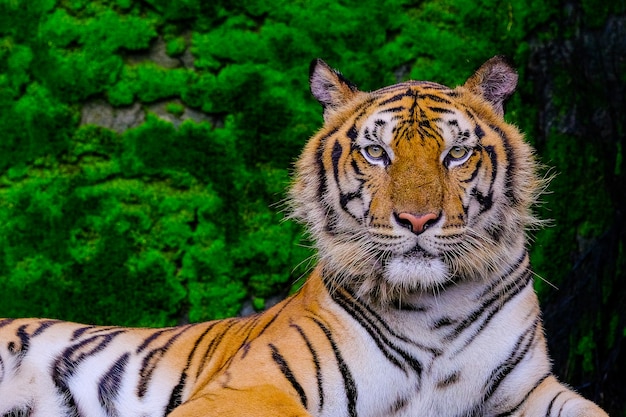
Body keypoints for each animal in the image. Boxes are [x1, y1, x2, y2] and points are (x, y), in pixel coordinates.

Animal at [0, 57, 604, 416]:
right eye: (376, 152)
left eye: (456, 153)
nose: (416, 221)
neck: (435, 307)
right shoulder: (257, 383)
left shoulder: (529, 392)